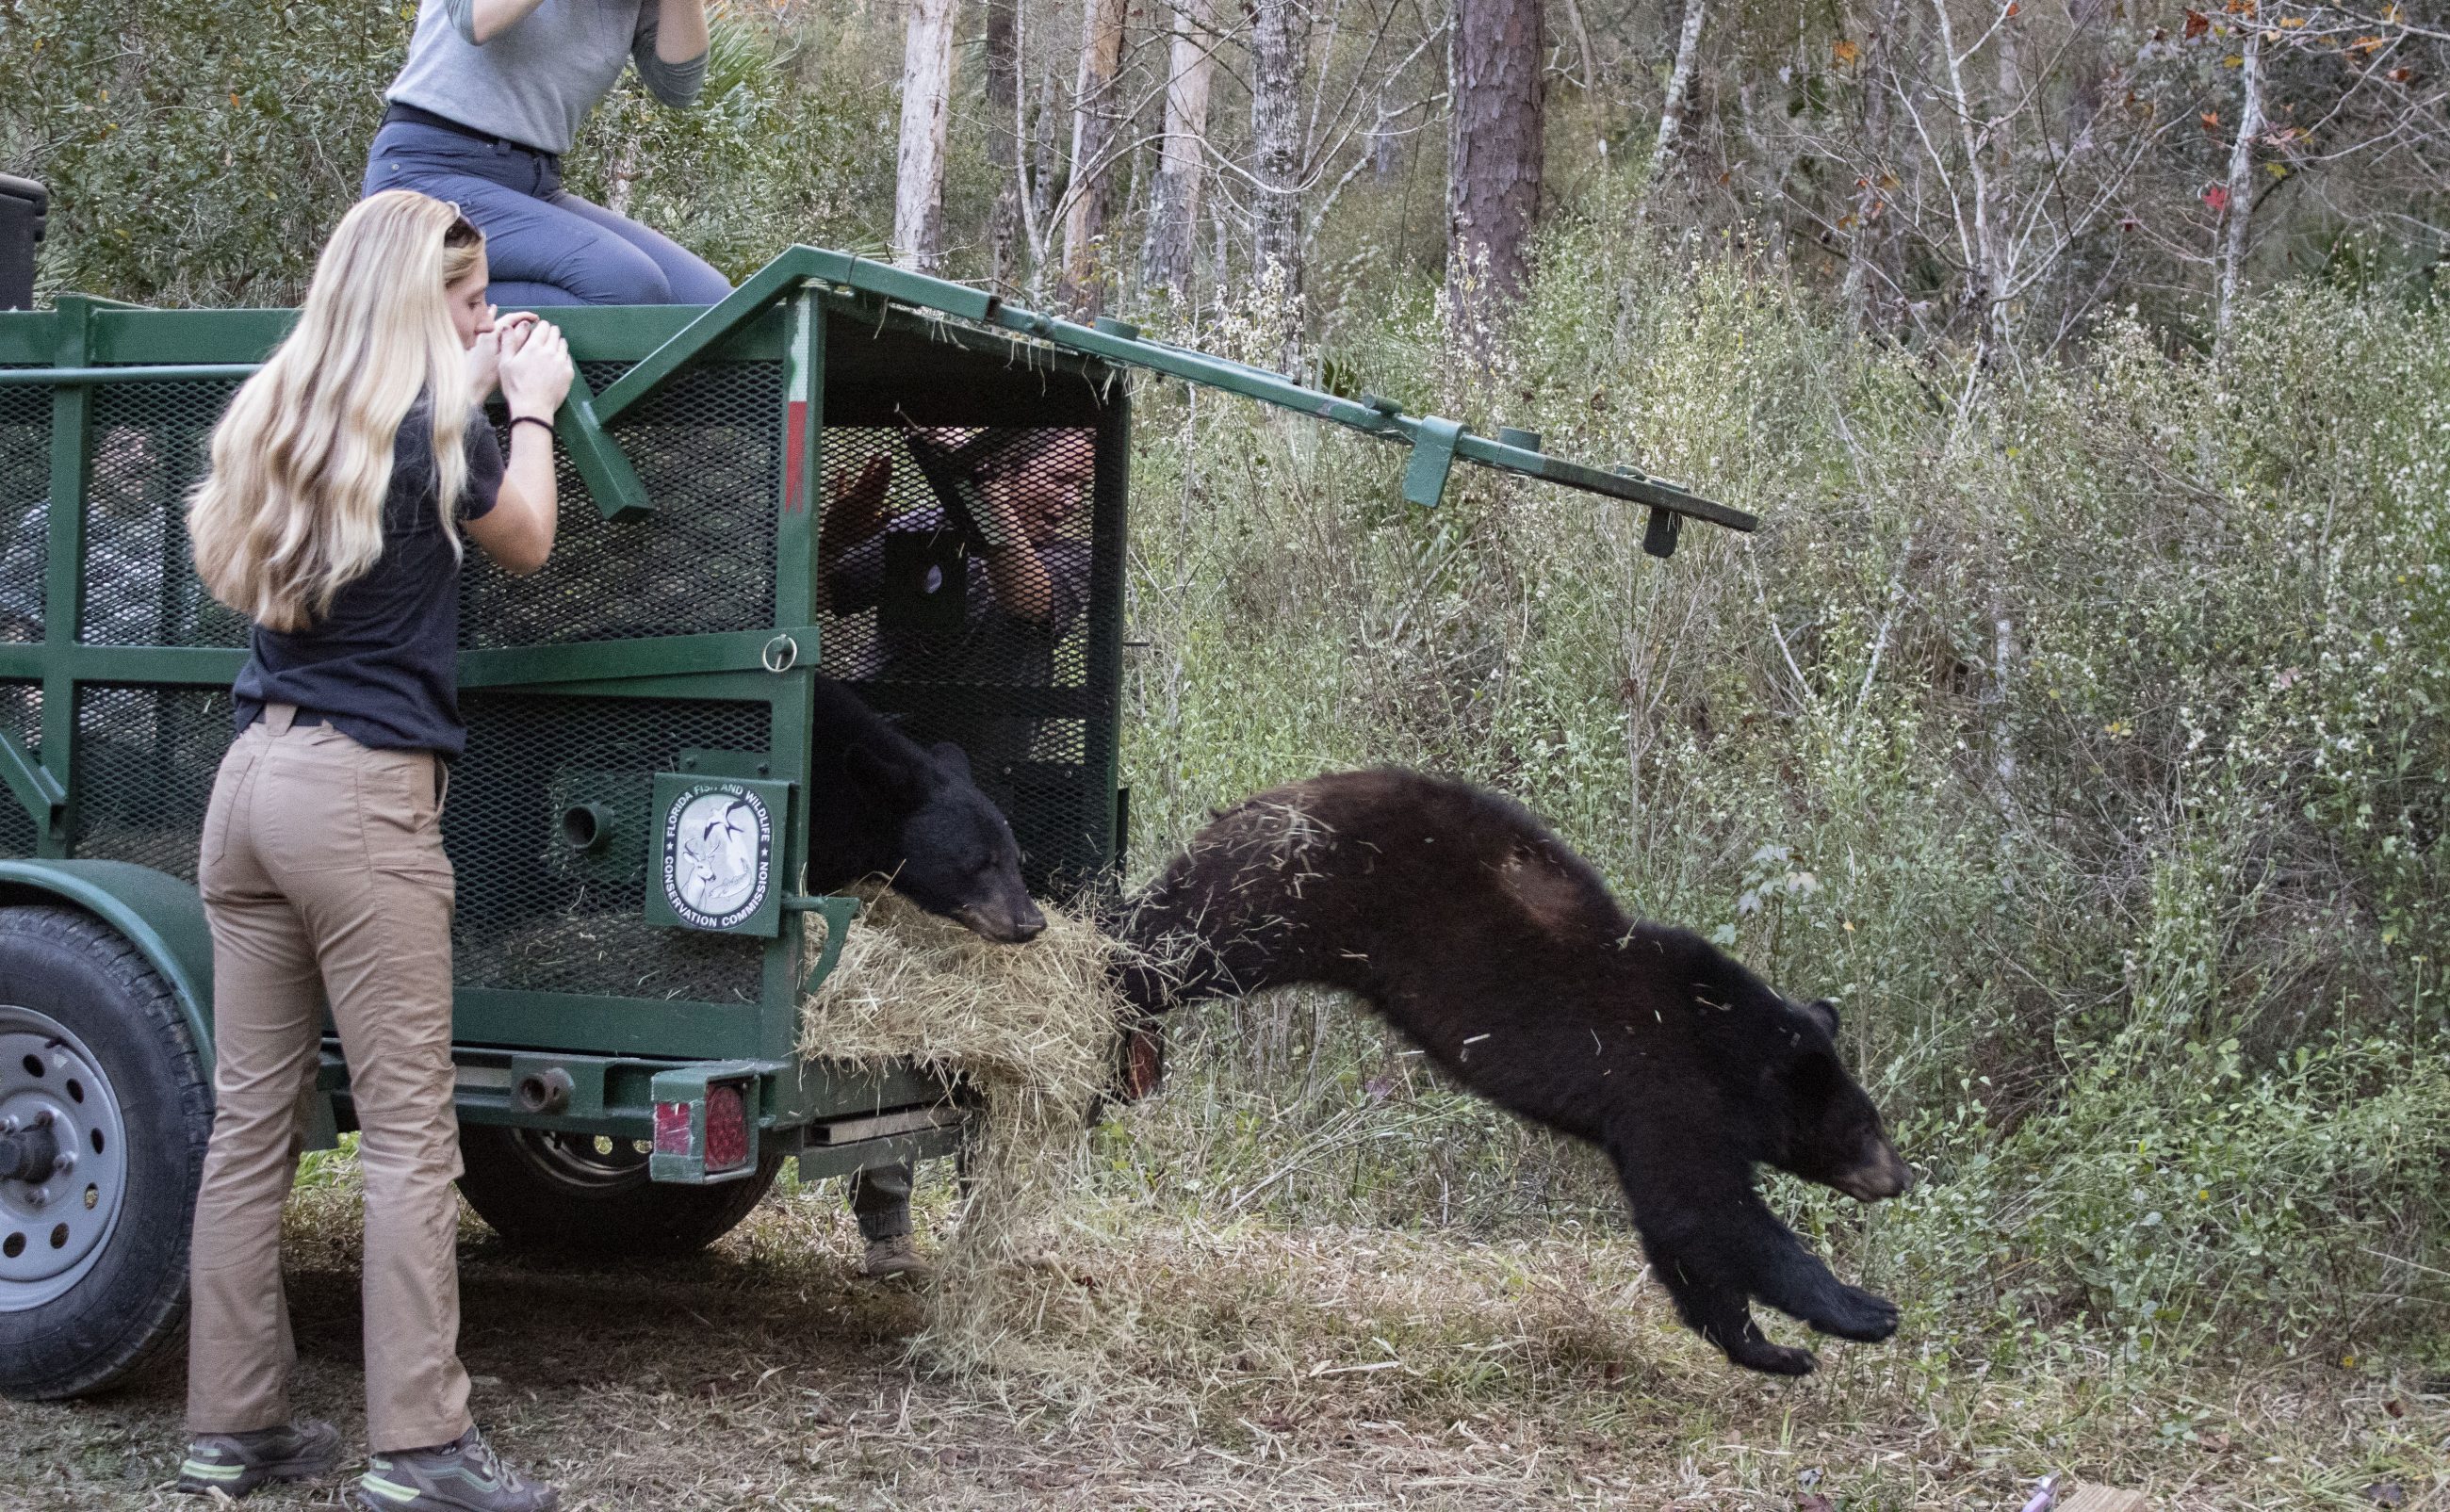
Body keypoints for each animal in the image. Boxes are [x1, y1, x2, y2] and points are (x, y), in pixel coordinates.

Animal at [1113, 767, 1912, 1375]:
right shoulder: (1664, 1088)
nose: (1901, 1176)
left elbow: (1682, 1242)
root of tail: (1257, 801)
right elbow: (1708, 1214)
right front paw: (1861, 1310)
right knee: (1176, 940)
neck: (1723, 1037)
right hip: (1284, 900)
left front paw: (1773, 1350)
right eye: (1863, 1125)